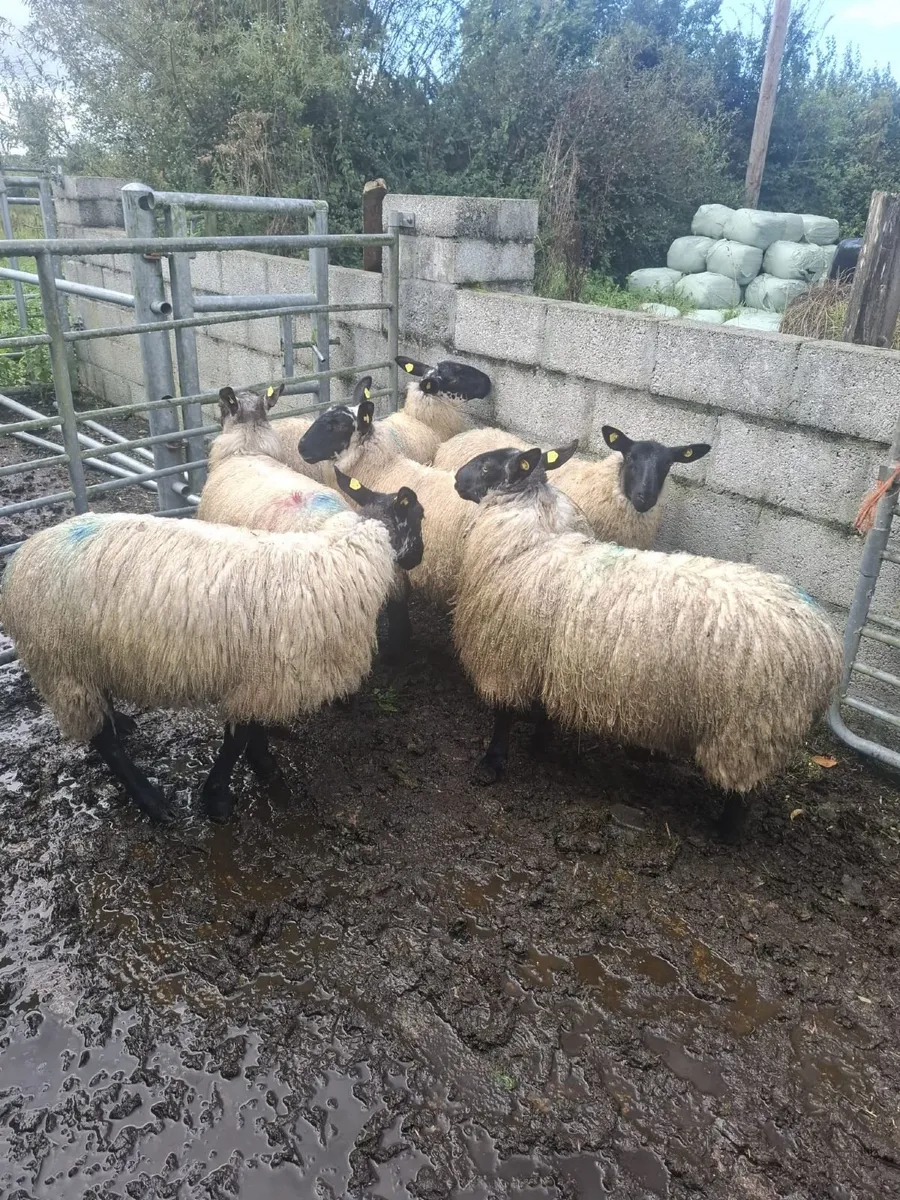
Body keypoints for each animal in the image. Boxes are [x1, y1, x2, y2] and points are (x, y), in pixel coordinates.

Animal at [0, 474, 424, 824]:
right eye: (419, 517)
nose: (418, 558)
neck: (339, 555)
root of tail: (23, 556)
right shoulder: (266, 676)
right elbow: (237, 738)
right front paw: (218, 798)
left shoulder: (260, 676)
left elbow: (252, 729)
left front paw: (264, 766)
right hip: (60, 661)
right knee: (104, 741)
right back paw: (153, 802)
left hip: (82, 659)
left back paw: (120, 720)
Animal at [451, 443, 842, 820]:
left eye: (487, 467)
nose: (456, 478)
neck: (536, 536)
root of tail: (826, 643)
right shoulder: (551, 658)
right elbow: (544, 710)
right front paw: (539, 746)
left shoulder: (505, 652)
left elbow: (504, 716)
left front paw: (491, 764)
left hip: (749, 730)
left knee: (742, 795)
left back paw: (723, 831)